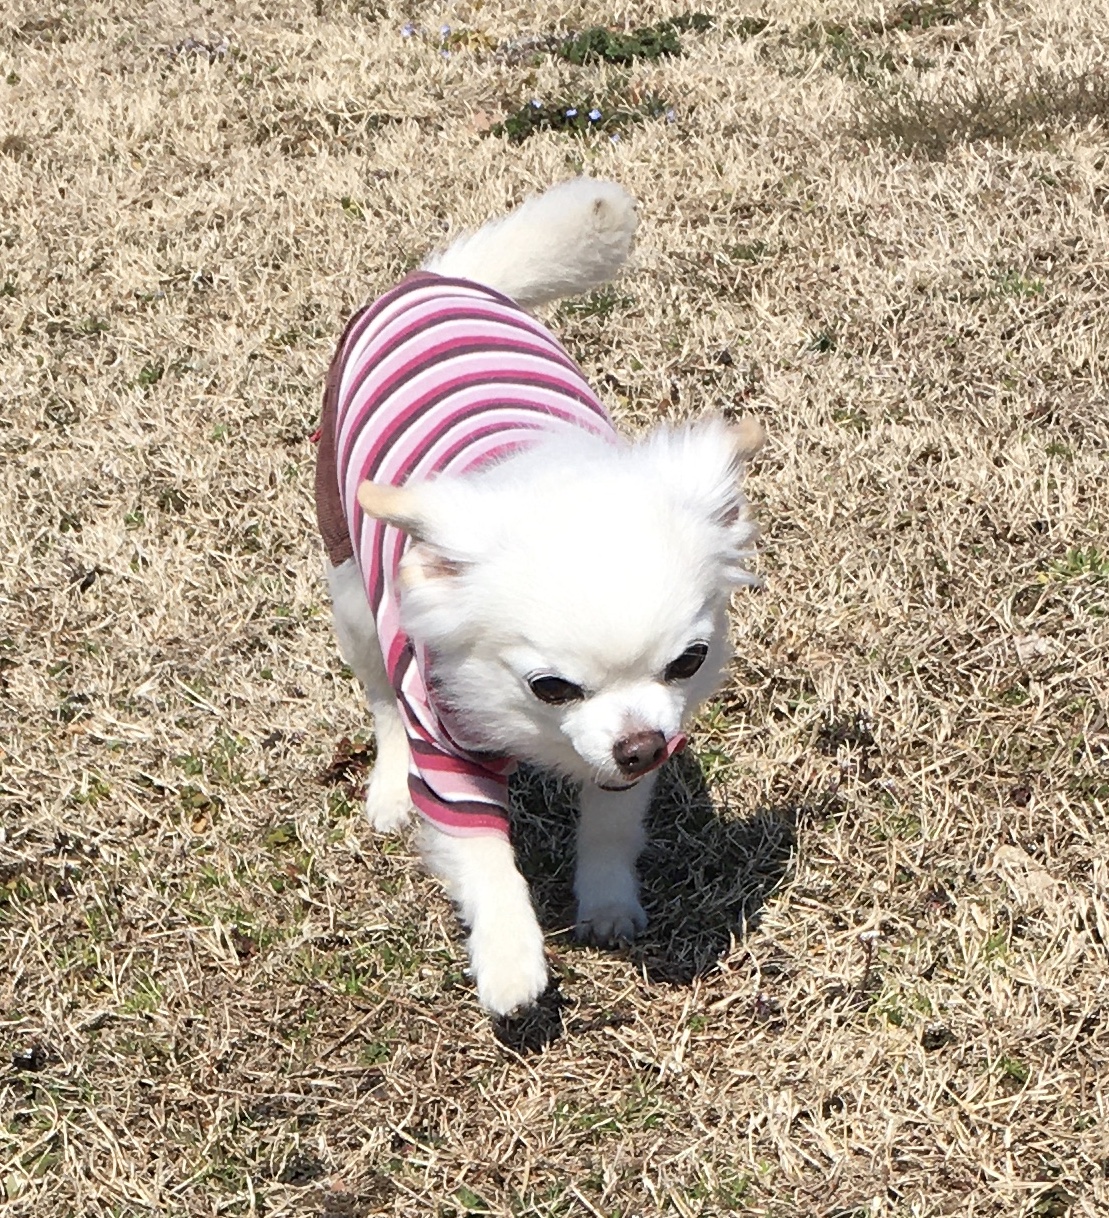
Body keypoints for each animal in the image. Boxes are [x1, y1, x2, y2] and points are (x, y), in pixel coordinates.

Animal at [314, 179, 763, 1015]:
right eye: (549, 686)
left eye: (687, 662)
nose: (643, 746)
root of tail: (442, 278)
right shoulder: (444, 746)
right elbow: (484, 857)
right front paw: (509, 961)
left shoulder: (623, 754)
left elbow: (610, 826)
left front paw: (608, 903)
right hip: (352, 591)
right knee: (379, 699)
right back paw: (387, 788)